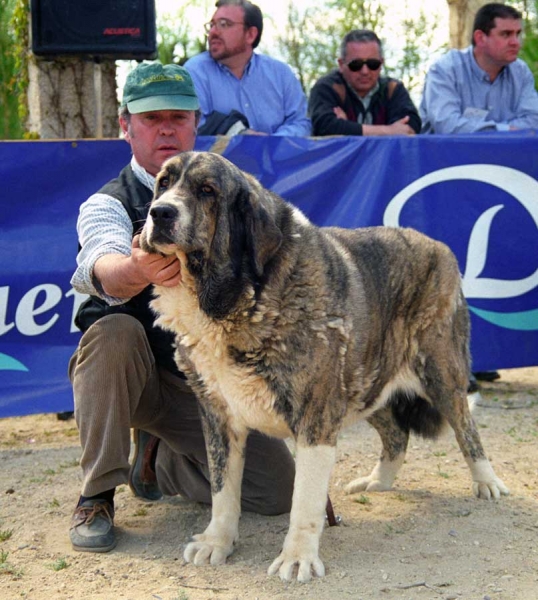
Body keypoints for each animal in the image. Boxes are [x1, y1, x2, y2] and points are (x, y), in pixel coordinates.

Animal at [139, 150, 506, 580]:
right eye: (164, 183)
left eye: (207, 191)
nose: (160, 212)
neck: (242, 295)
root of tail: (439, 246)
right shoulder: (218, 417)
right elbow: (223, 488)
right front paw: (217, 542)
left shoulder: (315, 419)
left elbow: (304, 499)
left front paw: (297, 556)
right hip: (365, 382)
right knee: (397, 434)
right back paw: (378, 481)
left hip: (439, 372)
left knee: (466, 428)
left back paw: (487, 482)